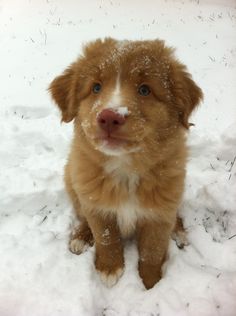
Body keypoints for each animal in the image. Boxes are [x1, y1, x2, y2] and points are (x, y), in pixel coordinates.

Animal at [48, 38, 203, 290]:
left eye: (145, 90)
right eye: (96, 87)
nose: (110, 117)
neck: (126, 169)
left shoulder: (159, 214)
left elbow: (152, 250)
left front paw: (151, 283)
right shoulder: (97, 205)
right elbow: (106, 238)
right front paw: (109, 268)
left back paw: (179, 232)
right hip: (73, 182)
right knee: (83, 216)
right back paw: (80, 237)